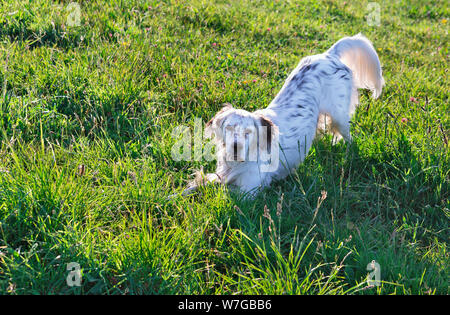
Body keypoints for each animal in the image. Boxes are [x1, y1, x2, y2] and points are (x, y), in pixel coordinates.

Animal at [179, 34, 384, 198]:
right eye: (229, 128)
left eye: (248, 133)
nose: (235, 147)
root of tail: (329, 54)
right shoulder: (221, 176)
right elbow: (196, 186)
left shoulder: (248, 191)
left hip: (340, 117)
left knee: (349, 139)